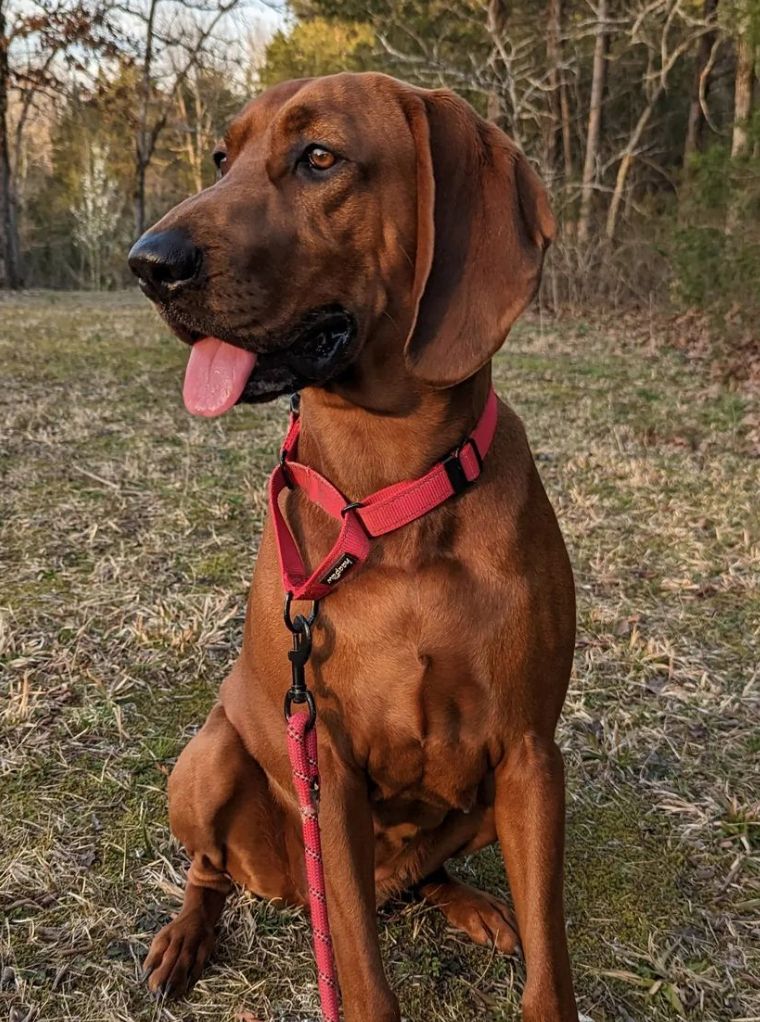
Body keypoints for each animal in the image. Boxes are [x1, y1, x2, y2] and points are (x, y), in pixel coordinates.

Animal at [129, 74, 576, 1021]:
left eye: (320, 157)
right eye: (222, 157)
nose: (148, 263)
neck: (393, 498)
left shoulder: (531, 755)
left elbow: (551, 970)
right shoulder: (324, 768)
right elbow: (364, 980)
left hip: (479, 804)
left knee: (423, 875)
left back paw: (469, 902)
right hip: (209, 764)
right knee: (210, 871)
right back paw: (185, 938)